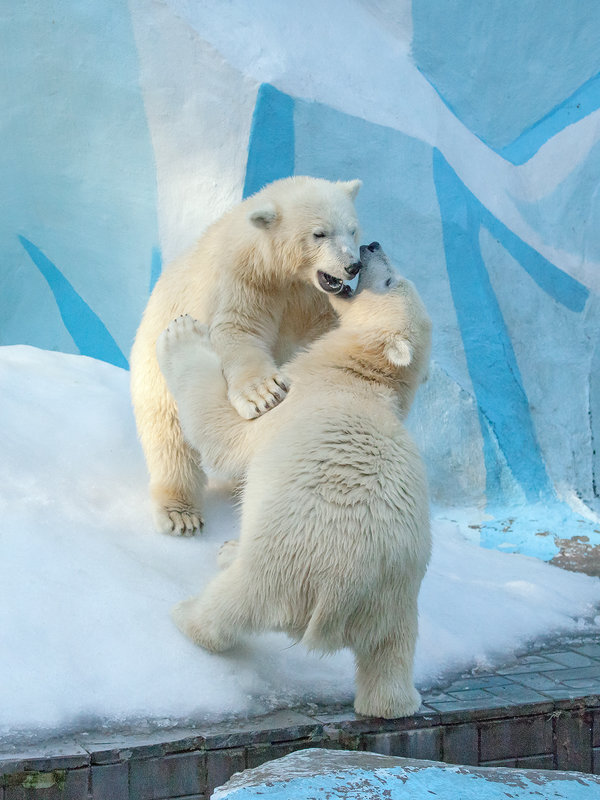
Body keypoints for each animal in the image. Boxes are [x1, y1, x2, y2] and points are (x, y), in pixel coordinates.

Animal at [129, 176, 360, 536]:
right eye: (319, 233)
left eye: (353, 230)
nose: (352, 266)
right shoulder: (244, 277)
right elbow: (240, 329)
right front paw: (265, 395)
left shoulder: (316, 301)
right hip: (154, 366)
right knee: (168, 436)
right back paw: (180, 512)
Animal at [157, 244, 434, 720]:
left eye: (388, 281)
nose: (371, 247)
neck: (358, 375)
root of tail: (342, 600)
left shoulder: (294, 399)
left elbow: (224, 435)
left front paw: (183, 333)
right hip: (397, 604)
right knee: (391, 660)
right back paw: (393, 703)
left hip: (288, 558)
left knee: (234, 603)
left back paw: (188, 611)